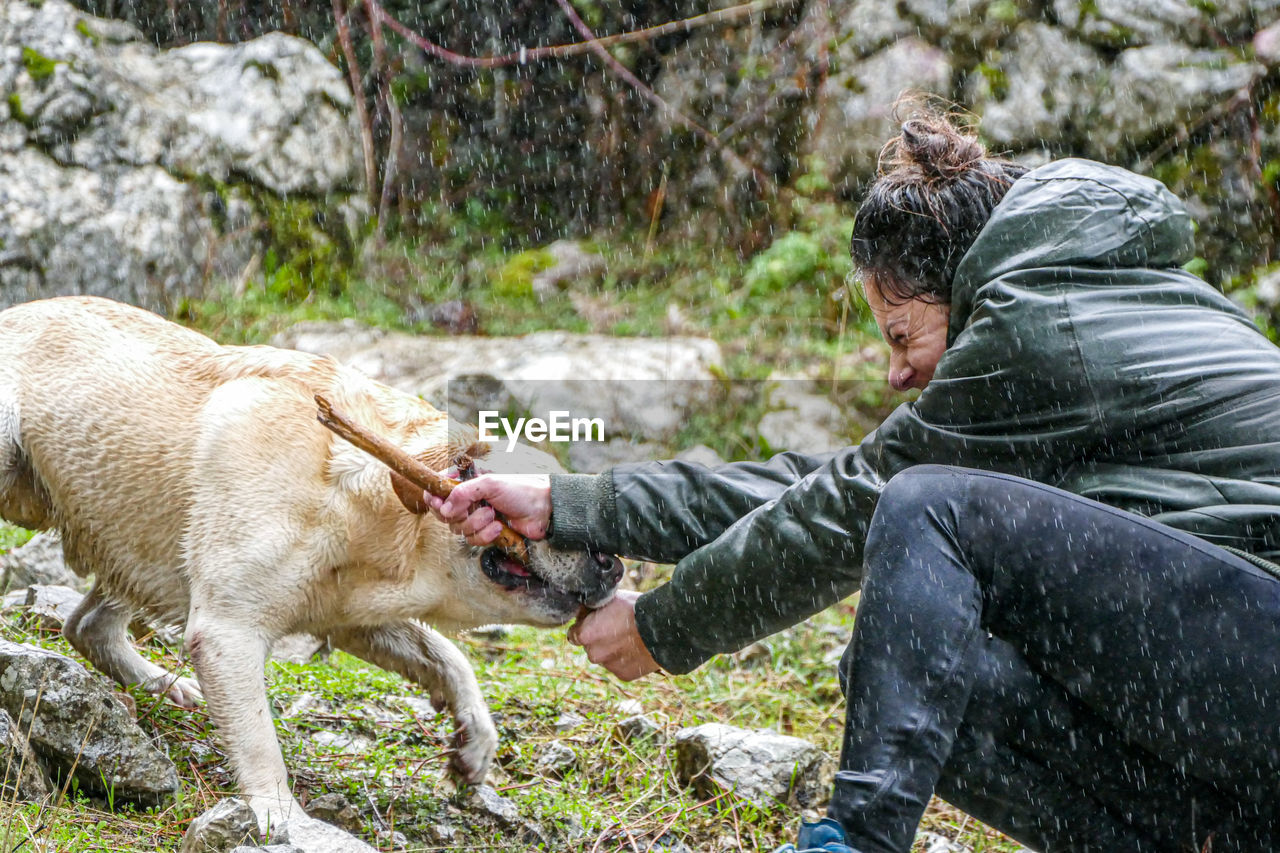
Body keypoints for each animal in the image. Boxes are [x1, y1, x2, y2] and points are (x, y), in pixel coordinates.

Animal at [0, 294, 622, 829]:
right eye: (548, 507)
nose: (614, 565)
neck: (359, 498)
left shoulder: (353, 613)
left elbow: (447, 655)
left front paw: (474, 738)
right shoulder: (227, 630)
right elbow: (258, 739)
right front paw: (284, 817)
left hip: (134, 531)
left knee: (87, 625)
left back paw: (162, 683)